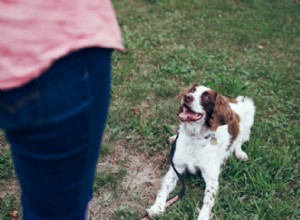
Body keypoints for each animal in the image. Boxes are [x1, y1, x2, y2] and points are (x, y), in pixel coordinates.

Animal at [146, 83, 254, 219]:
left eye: (206, 97)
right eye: (192, 90)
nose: (187, 97)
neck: (195, 137)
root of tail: (234, 101)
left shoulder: (212, 178)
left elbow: (208, 200)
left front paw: (203, 216)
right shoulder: (176, 168)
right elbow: (164, 189)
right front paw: (157, 207)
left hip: (249, 113)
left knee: (239, 141)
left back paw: (240, 153)